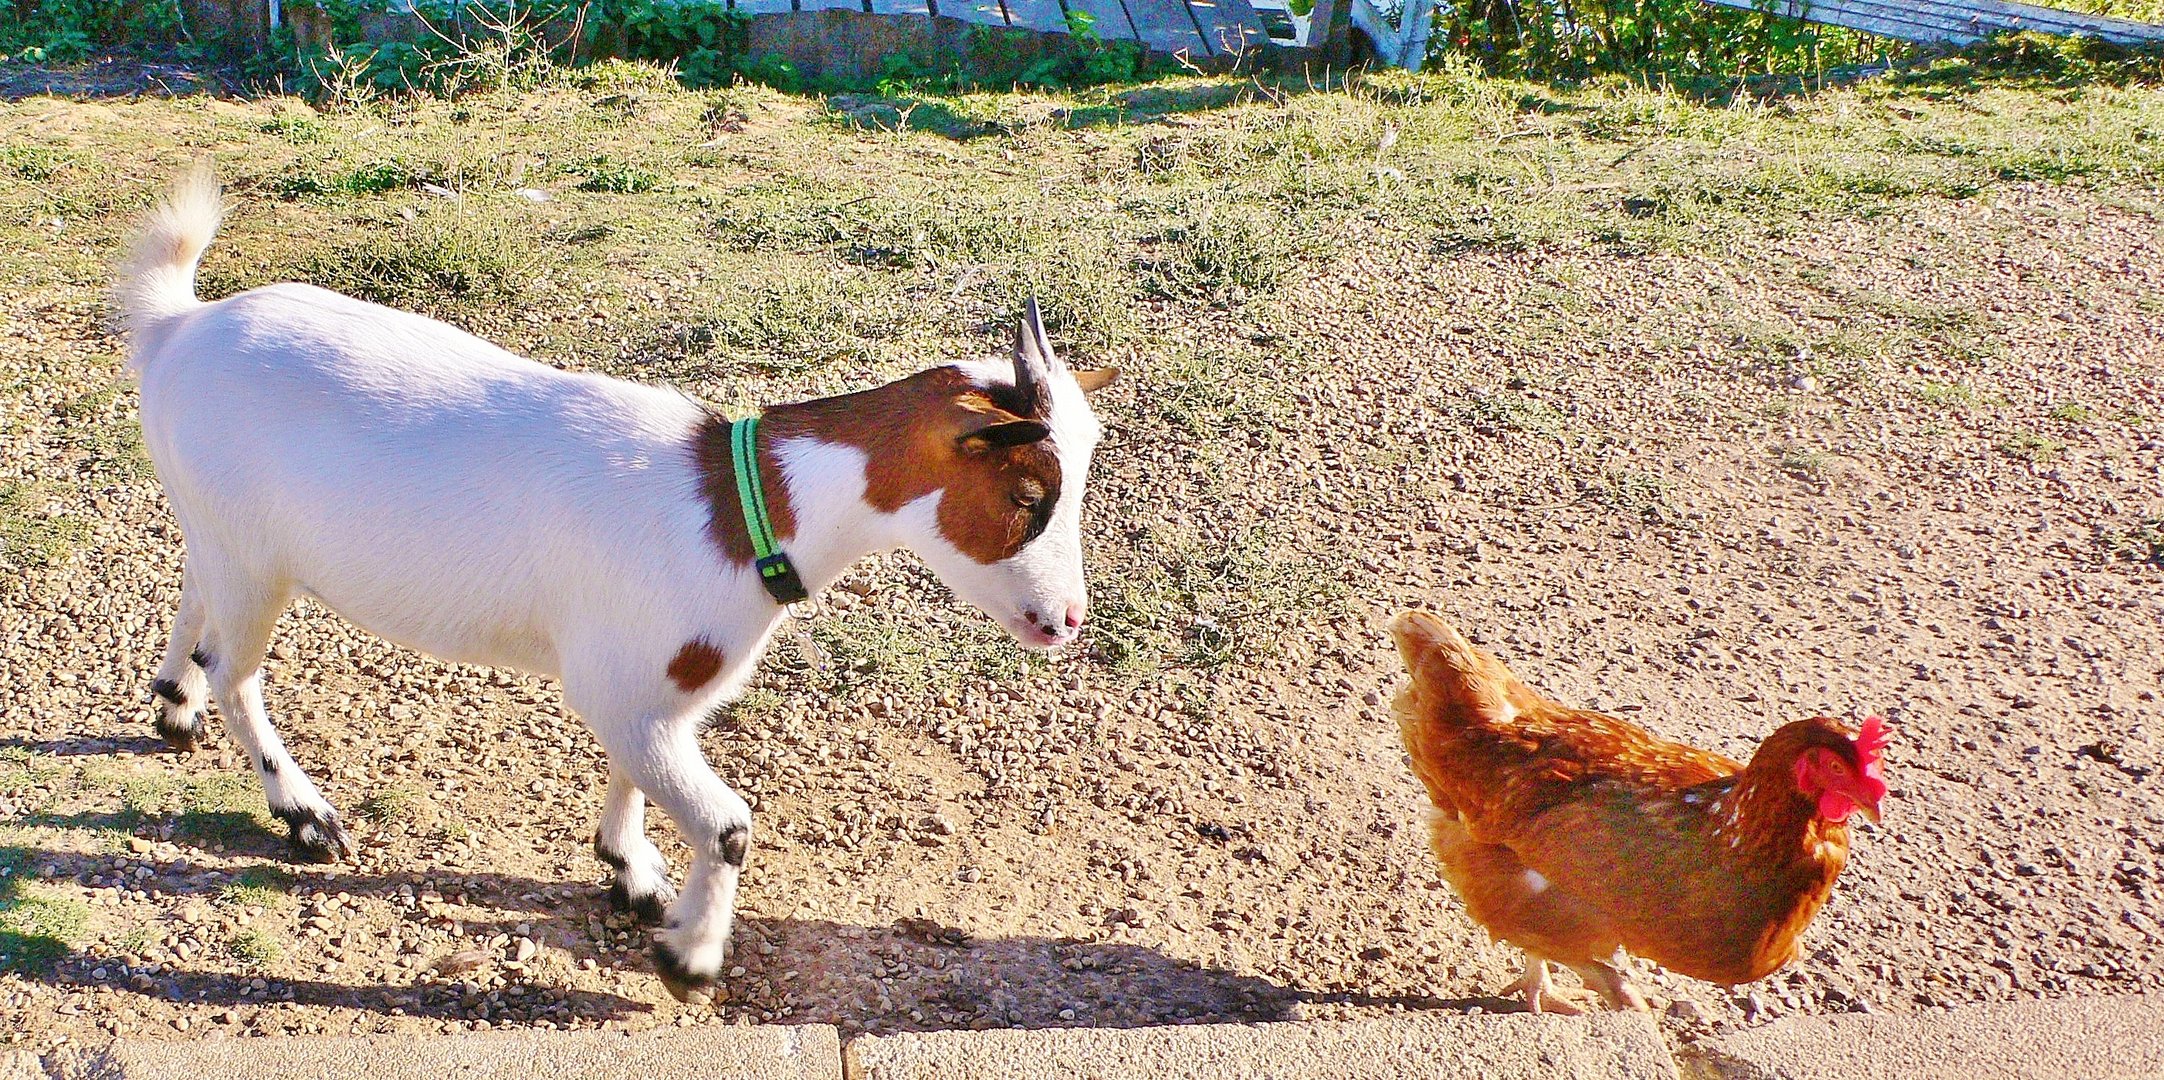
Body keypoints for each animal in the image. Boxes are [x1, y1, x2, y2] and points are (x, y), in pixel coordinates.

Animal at [116, 164, 1116, 999]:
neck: (737, 508)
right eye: (1029, 495)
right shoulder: (625, 684)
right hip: (257, 557)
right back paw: (305, 814)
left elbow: (636, 781)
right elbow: (730, 824)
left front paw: (630, 872)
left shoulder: (653, 692)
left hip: (226, 532)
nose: (1067, 618)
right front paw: (689, 960)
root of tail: (177, 329)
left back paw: (174, 704)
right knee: (239, 668)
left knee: (198, 598)